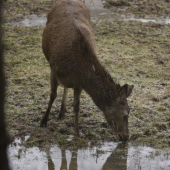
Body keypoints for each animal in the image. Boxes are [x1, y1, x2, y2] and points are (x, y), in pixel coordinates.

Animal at [40, 0, 133, 141]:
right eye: (125, 114)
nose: (126, 137)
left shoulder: (78, 83)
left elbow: (76, 106)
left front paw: (77, 133)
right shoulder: (54, 68)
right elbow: (52, 95)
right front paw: (43, 121)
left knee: (66, 87)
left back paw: (62, 111)